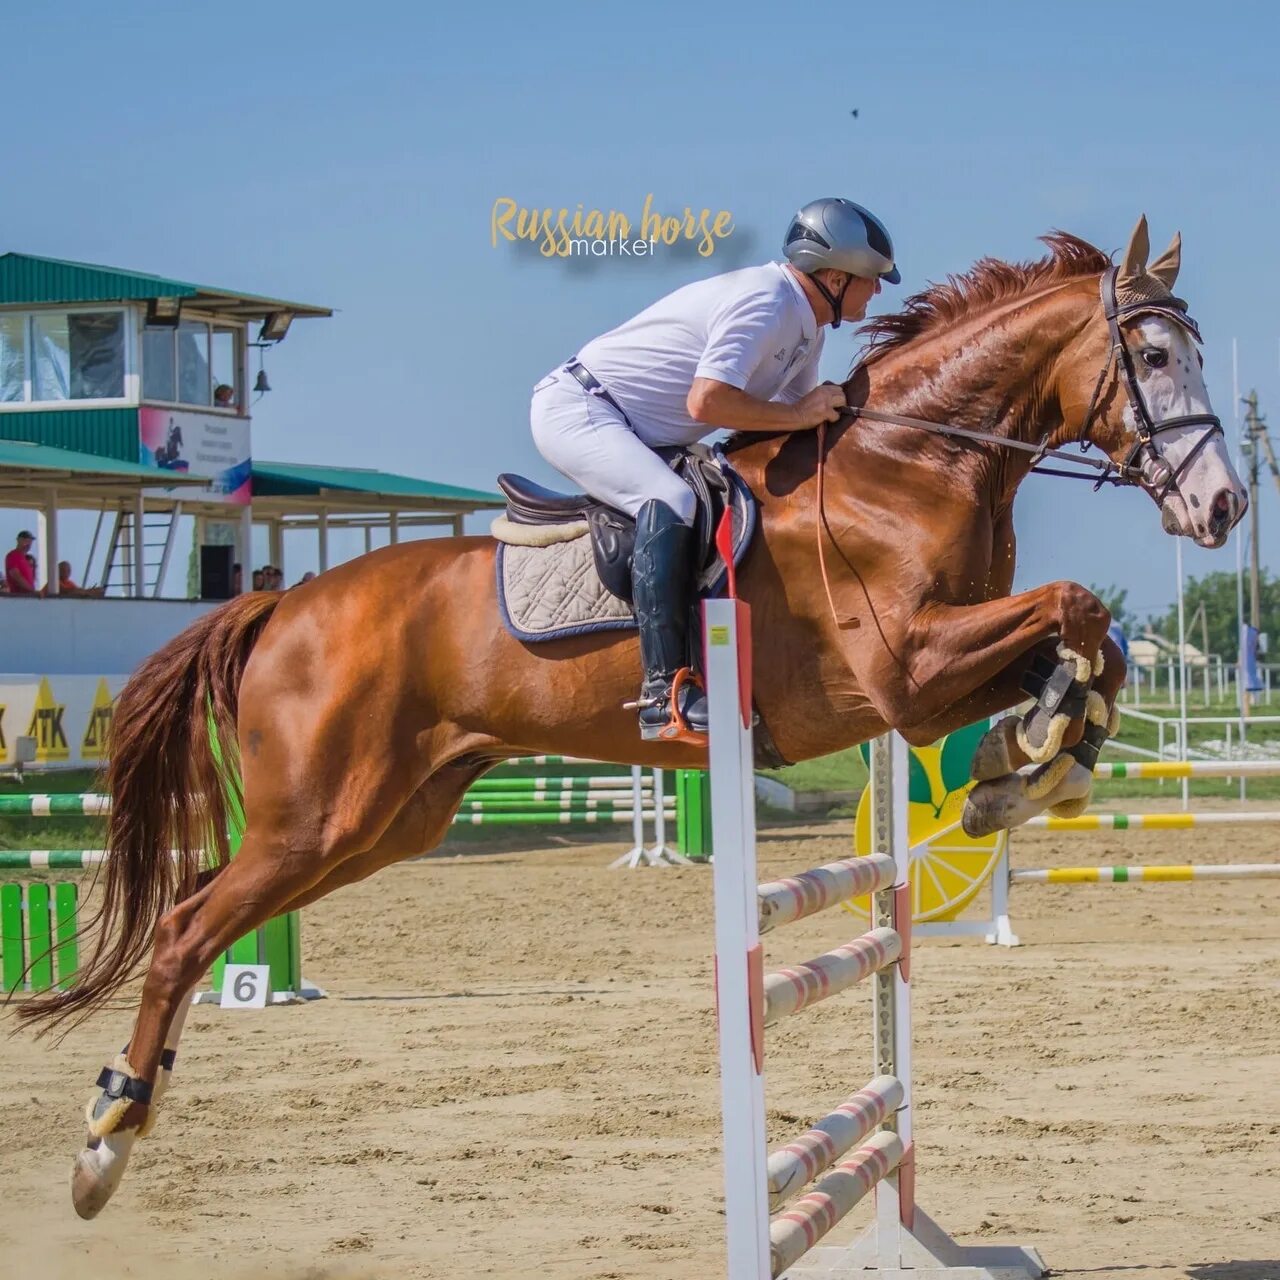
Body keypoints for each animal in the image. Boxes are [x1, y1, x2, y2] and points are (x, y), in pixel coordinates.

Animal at [24, 220, 1244, 1218]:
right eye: (1150, 357)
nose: (1224, 505)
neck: (909, 461)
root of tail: (282, 603)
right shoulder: (906, 671)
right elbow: (1078, 609)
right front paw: (1027, 759)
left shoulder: (935, 674)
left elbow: (1092, 647)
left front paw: (1020, 765)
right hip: (315, 816)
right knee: (184, 929)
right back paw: (104, 1139)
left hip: (384, 823)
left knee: (202, 912)